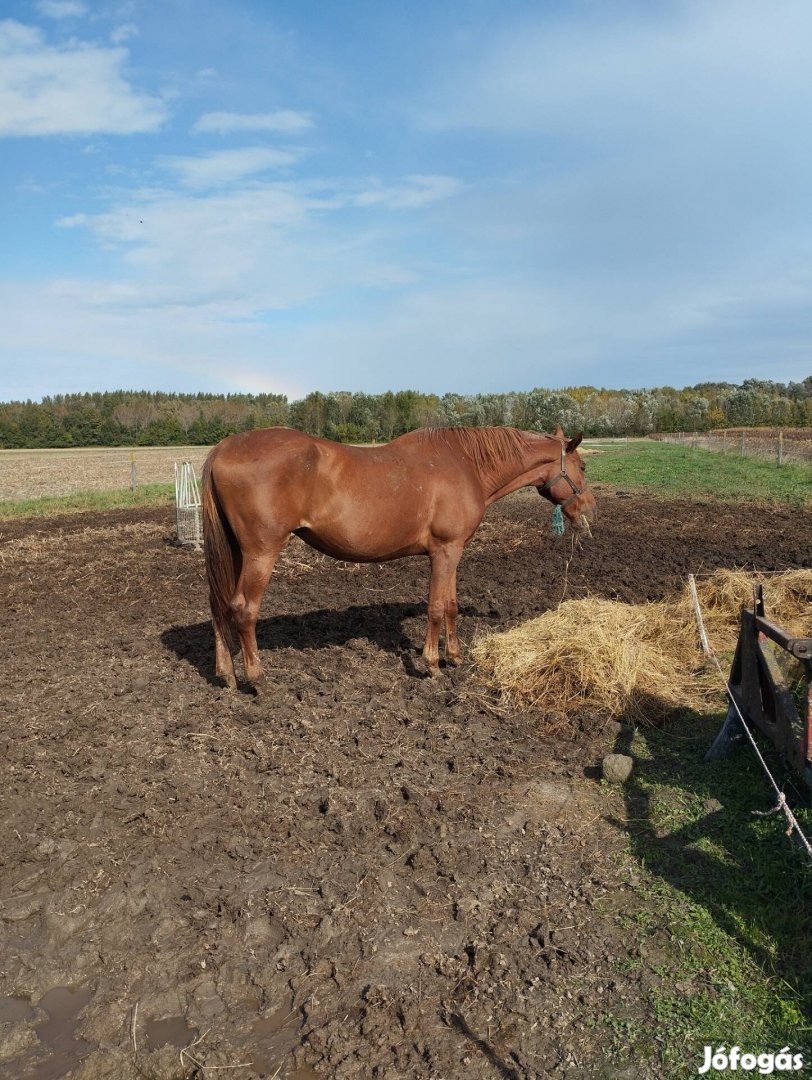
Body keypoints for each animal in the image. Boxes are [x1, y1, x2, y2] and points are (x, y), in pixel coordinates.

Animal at [203, 423, 596, 691]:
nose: (590, 508)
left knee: (221, 606)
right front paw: (432, 664)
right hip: (261, 553)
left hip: (236, 552)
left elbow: (451, 606)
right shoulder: (444, 551)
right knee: (243, 610)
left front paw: (455, 657)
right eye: (583, 467)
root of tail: (224, 447)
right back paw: (257, 677)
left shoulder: (455, 550)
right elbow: (435, 607)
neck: (464, 463)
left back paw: (227, 675)